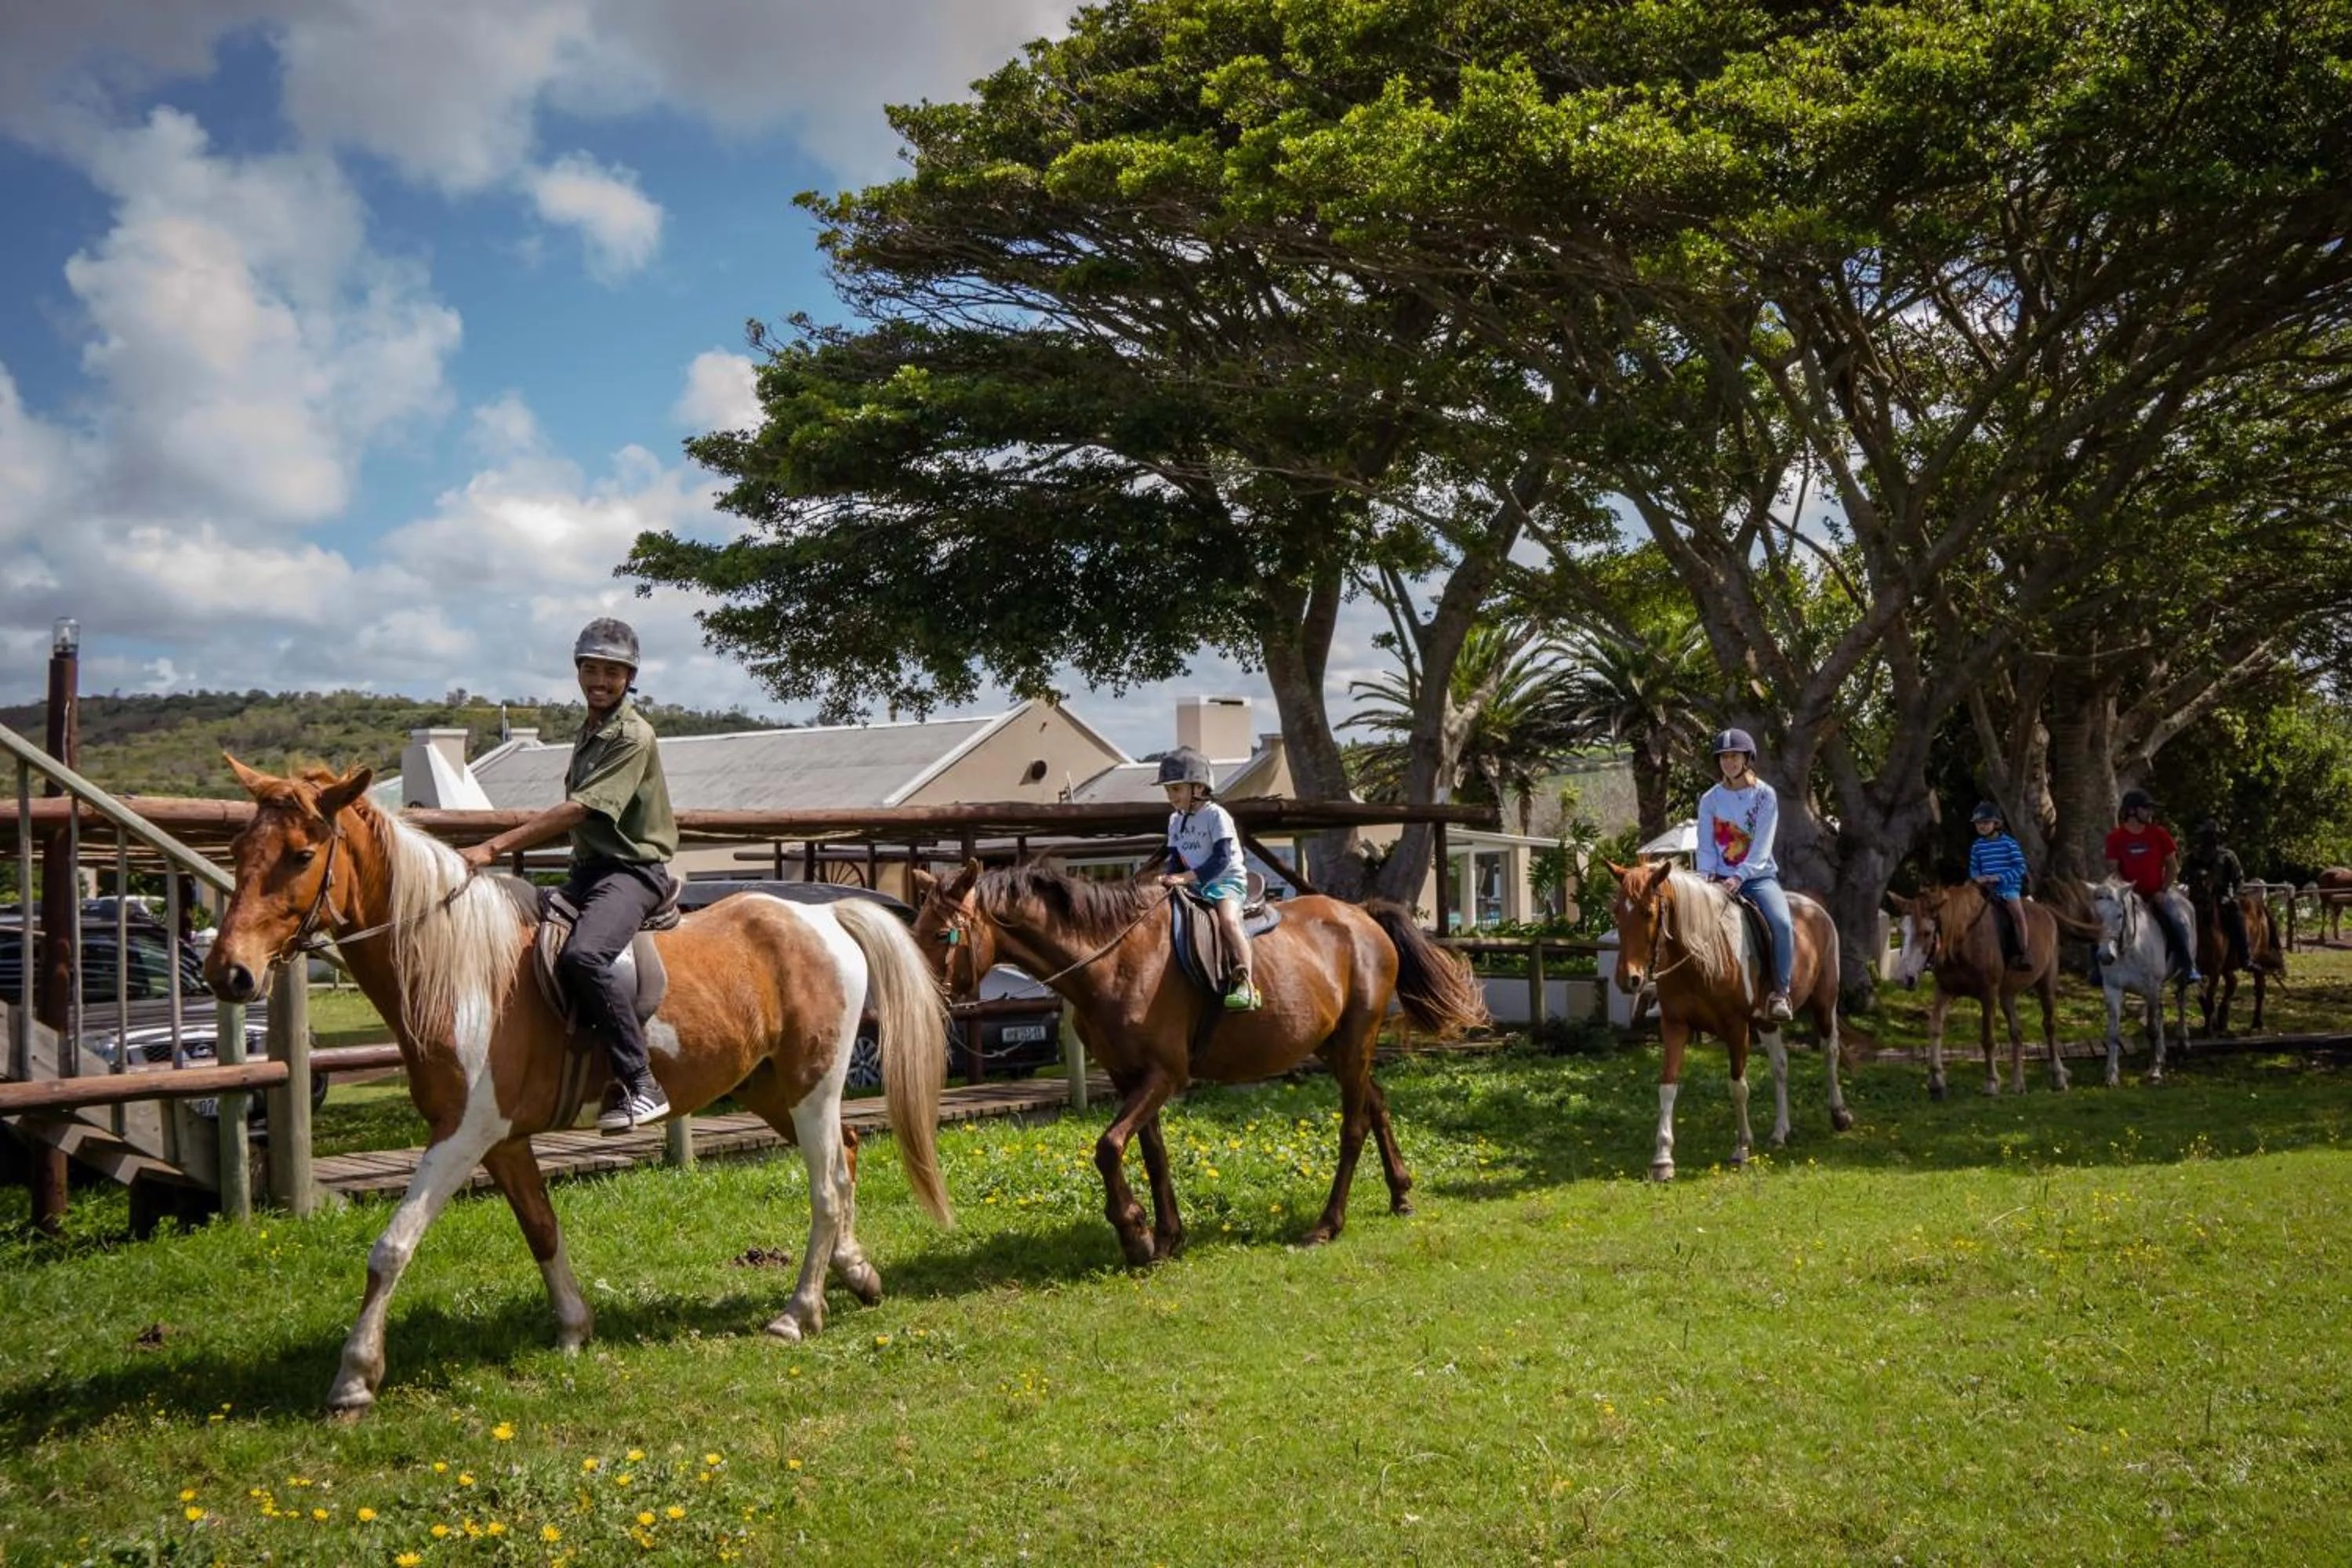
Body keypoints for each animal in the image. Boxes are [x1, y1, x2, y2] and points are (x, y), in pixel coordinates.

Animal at [204, 760, 952, 1417]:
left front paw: (355, 1380)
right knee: (847, 1155)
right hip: (767, 1088)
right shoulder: (501, 1140)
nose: (228, 973)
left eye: (302, 854)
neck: (459, 968)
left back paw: (797, 1313)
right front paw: (573, 1328)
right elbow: (541, 1229)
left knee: (826, 1188)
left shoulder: (462, 1133)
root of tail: (826, 917)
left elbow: (391, 1249)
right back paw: (856, 1275)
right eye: (238, 848)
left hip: (810, 1085)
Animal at [909, 861, 1487, 1264]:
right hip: (1337, 1047)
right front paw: (1165, 1236)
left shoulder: (1164, 1075)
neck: (1114, 961)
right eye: (915, 933)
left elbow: (1108, 1147)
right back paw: (1401, 1195)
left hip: (1352, 1046)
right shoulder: (1130, 1078)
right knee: (1379, 1106)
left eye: (940, 935)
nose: (921, 1000)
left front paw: (1134, 1233)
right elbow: (1152, 1154)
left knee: (1355, 1127)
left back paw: (1328, 1224)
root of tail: (1363, 915)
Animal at [1605, 860, 1852, 1181]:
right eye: (1616, 912)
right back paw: (1780, 1132)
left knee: (1829, 1050)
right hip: (1768, 1021)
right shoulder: (1675, 1026)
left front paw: (1742, 1148)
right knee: (1780, 1065)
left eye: (1648, 911)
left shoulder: (1736, 1028)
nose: (1628, 979)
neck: (1701, 957)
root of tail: (1814, 907)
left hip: (1824, 1001)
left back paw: (1840, 1114)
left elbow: (1738, 1087)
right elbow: (1668, 1085)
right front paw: (1662, 1159)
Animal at [1886, 881, 2071, 1098]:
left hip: (2046, 983)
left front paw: (1991, 1083)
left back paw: (2058, 1077)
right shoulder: (1945, 990)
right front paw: (1936, 1081)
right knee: (2016, 1032)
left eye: (1926, 933)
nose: (1905, 979)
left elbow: (1988, 1038)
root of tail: (2047, 913)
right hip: (2007, 994)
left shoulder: (1988, 993)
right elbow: (1935, 1028)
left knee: (2049, 1026)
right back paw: (2018, 1083)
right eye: (1902, 931)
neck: (1964, 941)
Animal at [2084, 876, 2194, 1086]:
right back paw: (2161, 1053)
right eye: (2095, 916)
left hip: (2180, 976)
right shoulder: (2113, 989)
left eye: (2120, 915)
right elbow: (2113, 1033)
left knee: (2181, 1000)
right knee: (2161, 1011)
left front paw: (2154, 1071)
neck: (2130, 948)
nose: (2105, 957)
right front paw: (2111, 1075)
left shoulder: (2151, 988)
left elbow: (2151, 1029)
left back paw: (2183, 1042)